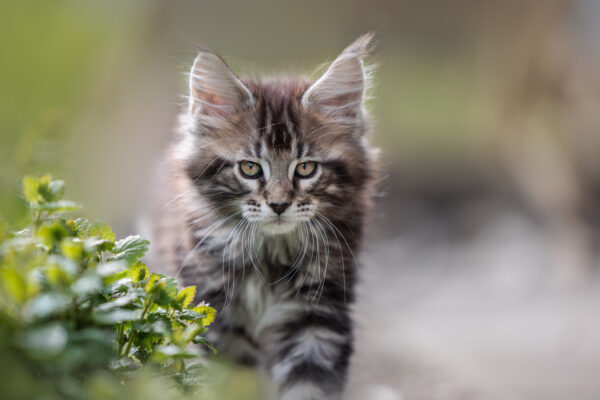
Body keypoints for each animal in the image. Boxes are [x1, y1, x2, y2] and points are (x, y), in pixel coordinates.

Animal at [154, 34, 380, 400]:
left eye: (306, 168)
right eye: (250, 168)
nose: (278, 204)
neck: (270, 256)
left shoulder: (318, 315)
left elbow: (308, 388)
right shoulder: (212, 316)